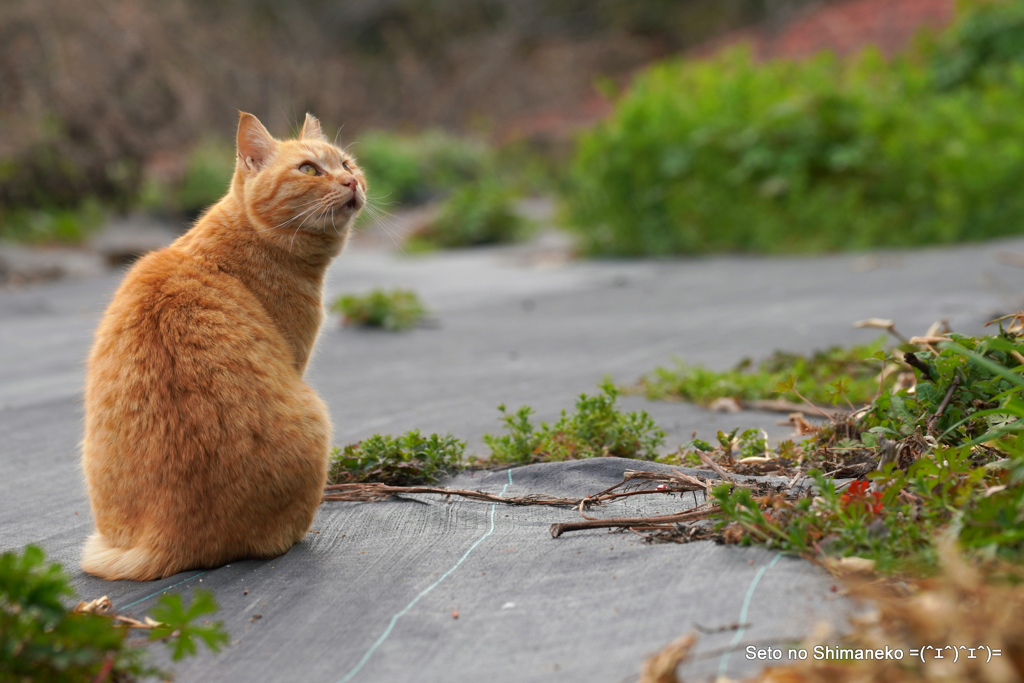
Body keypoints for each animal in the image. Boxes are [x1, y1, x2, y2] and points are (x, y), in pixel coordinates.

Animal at [81, 112, 366, 581]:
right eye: (309, 169)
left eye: (346, 163)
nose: (352, 181)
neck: (247, 236)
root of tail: (169, 537)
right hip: (317, 419)